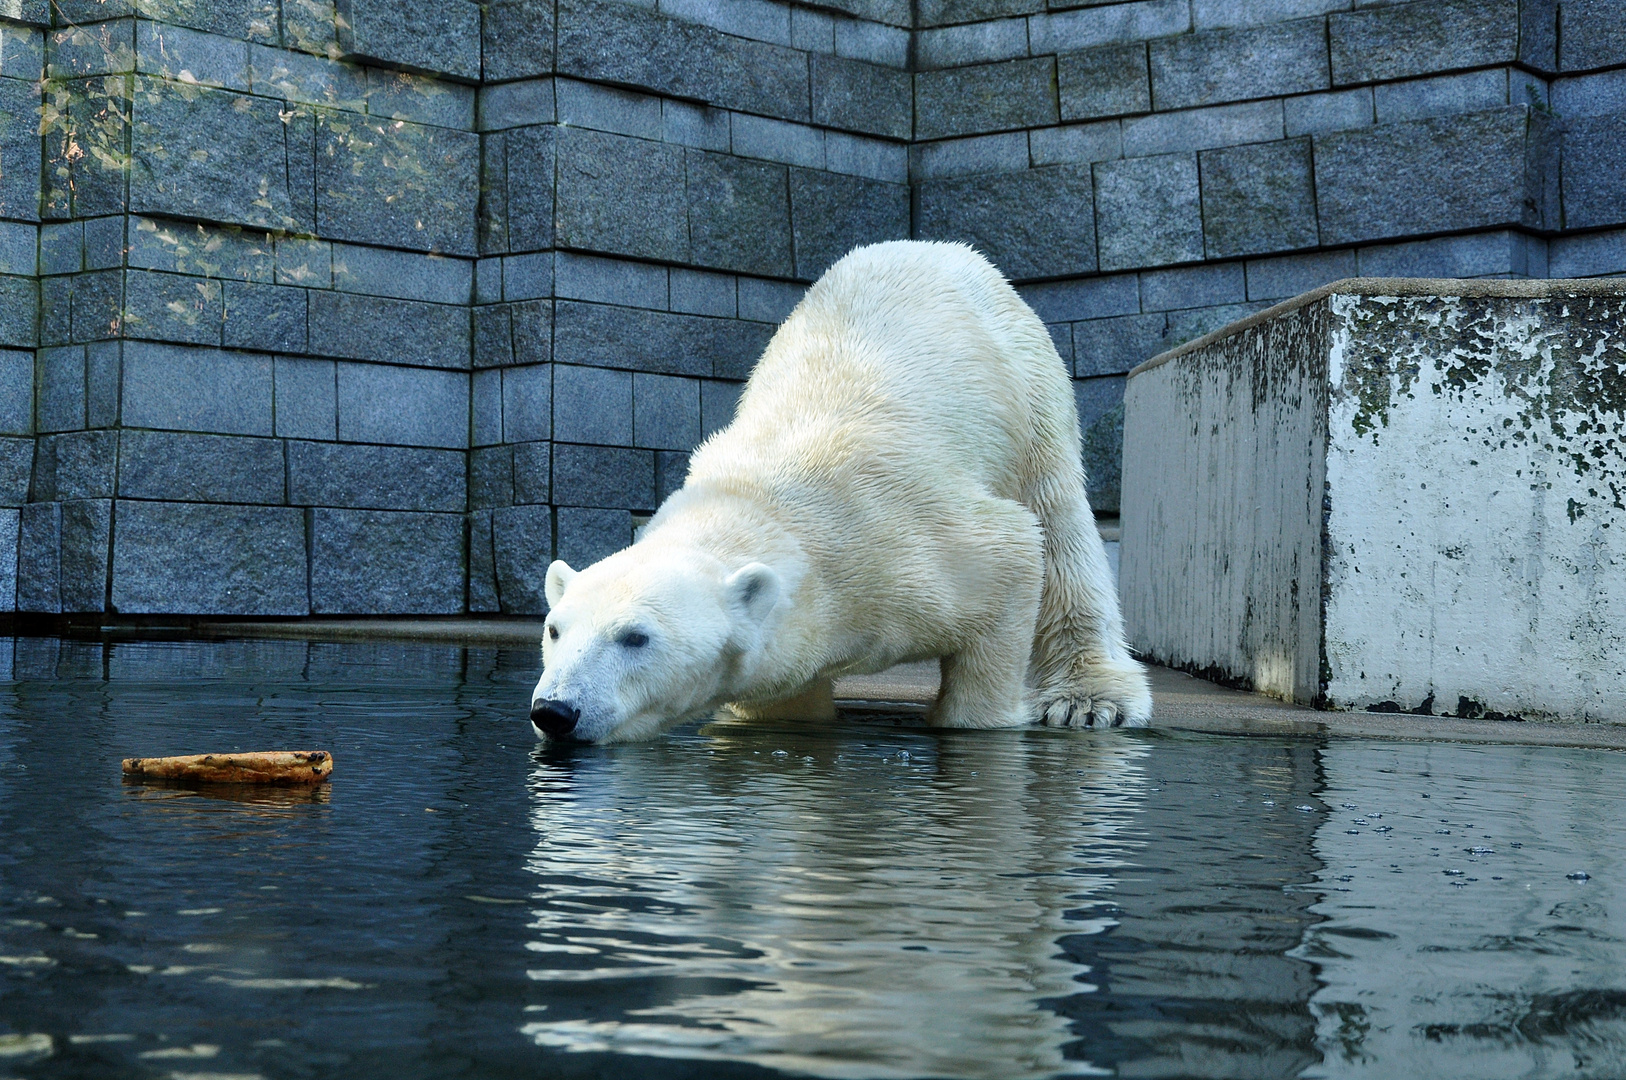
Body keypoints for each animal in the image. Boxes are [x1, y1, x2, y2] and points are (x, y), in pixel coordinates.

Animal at [526, 239, 1151, 741]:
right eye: (555, 628)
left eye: (636, 637)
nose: (556, 711)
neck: (766, 503)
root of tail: (935, 247)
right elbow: (782, 701)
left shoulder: (916, 539)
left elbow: (1013, 557)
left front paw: (977, 718)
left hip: (1028, 388)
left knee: (1061, 523)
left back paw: (1090, 698)